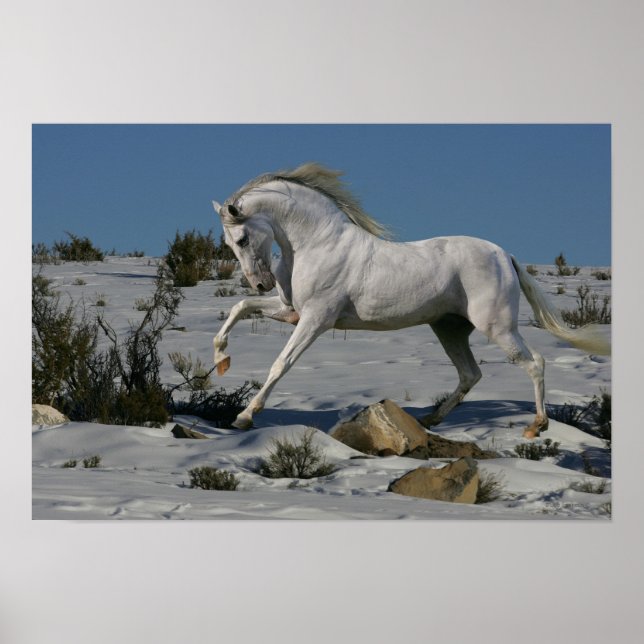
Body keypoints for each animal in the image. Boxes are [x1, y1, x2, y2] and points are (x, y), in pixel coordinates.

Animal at [211, 163, 610, 437]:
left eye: (242, 238)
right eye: (229, 243)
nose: (260, 283)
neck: (316, 244)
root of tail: (504, 255)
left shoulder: (316, 319)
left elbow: (281, 364)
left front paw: (243, 417)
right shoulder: (290, 311)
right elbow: (240, 309)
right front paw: (221, 359)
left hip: (496, 326)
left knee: (534, 363)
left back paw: (536, 426)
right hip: (449, 328)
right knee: (470, 373)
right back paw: (430, 419)